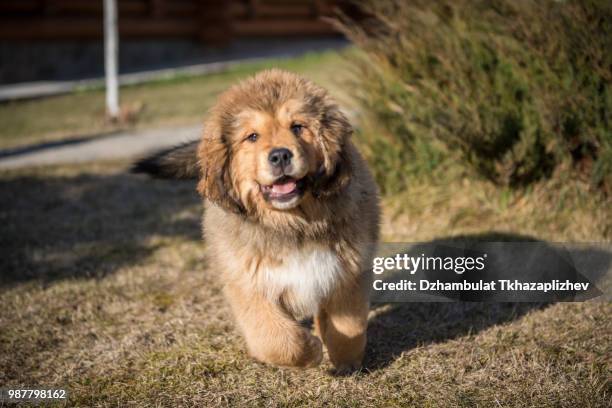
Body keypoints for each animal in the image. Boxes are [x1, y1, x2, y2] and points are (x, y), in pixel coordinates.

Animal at [135, 69, 378, 370]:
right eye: (252, 136)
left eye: (298, 127)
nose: (280, 155)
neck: (292, 224)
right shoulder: (249, 285)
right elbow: (276, 340)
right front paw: (310, 348)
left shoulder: (348, 272)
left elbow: (348, 327)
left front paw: (347, 361)